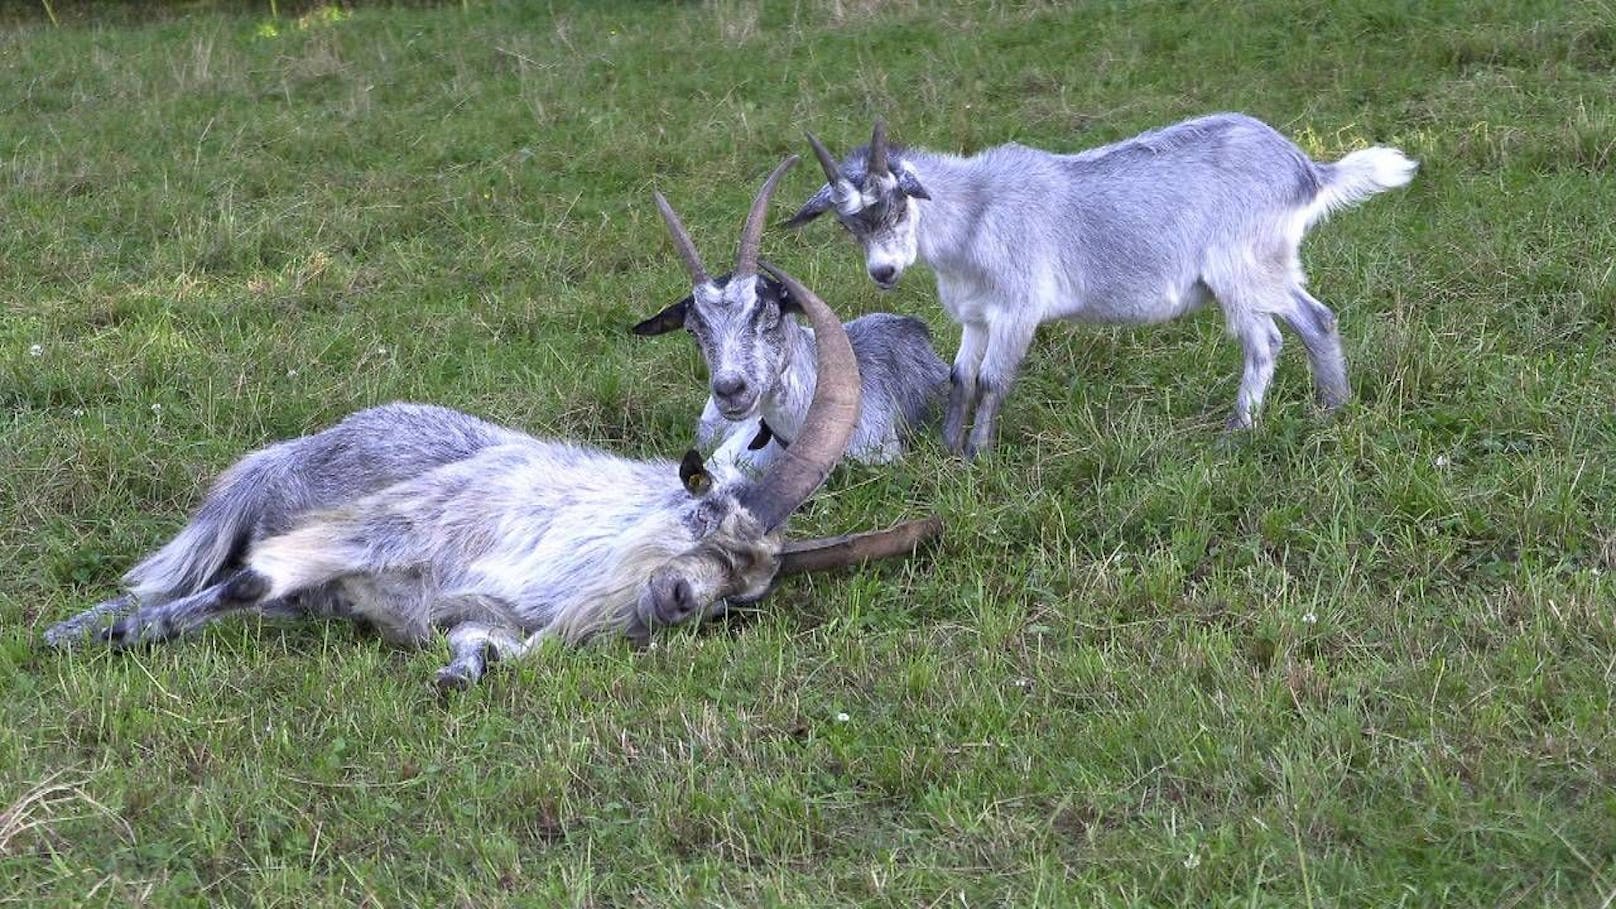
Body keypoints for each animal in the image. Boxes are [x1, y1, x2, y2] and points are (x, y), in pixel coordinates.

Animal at [44, 250, 943, 682]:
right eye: (701, 517)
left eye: (740, 597)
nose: (679, 599)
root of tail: (281, 456)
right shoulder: (382, 527)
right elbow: (246, 579)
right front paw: (101, 634)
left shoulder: (479, 612)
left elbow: (484, 649)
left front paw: (456, 673)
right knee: (199, 582)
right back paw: (85, 627)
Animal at [788, 113, 1422, 452]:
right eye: (847, 225)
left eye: (897, 203)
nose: (884, 273)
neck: (978, 212)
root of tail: (1305, 169)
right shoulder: (976, 315)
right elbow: (960, 376)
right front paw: (947, 451)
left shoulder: (1018, 309)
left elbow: (992, 380)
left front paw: (977, 457)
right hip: (1270, 265)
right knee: (1318, 318)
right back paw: (1332, 409)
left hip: (1241, 269)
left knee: (1266, 340)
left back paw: (1236, 432)